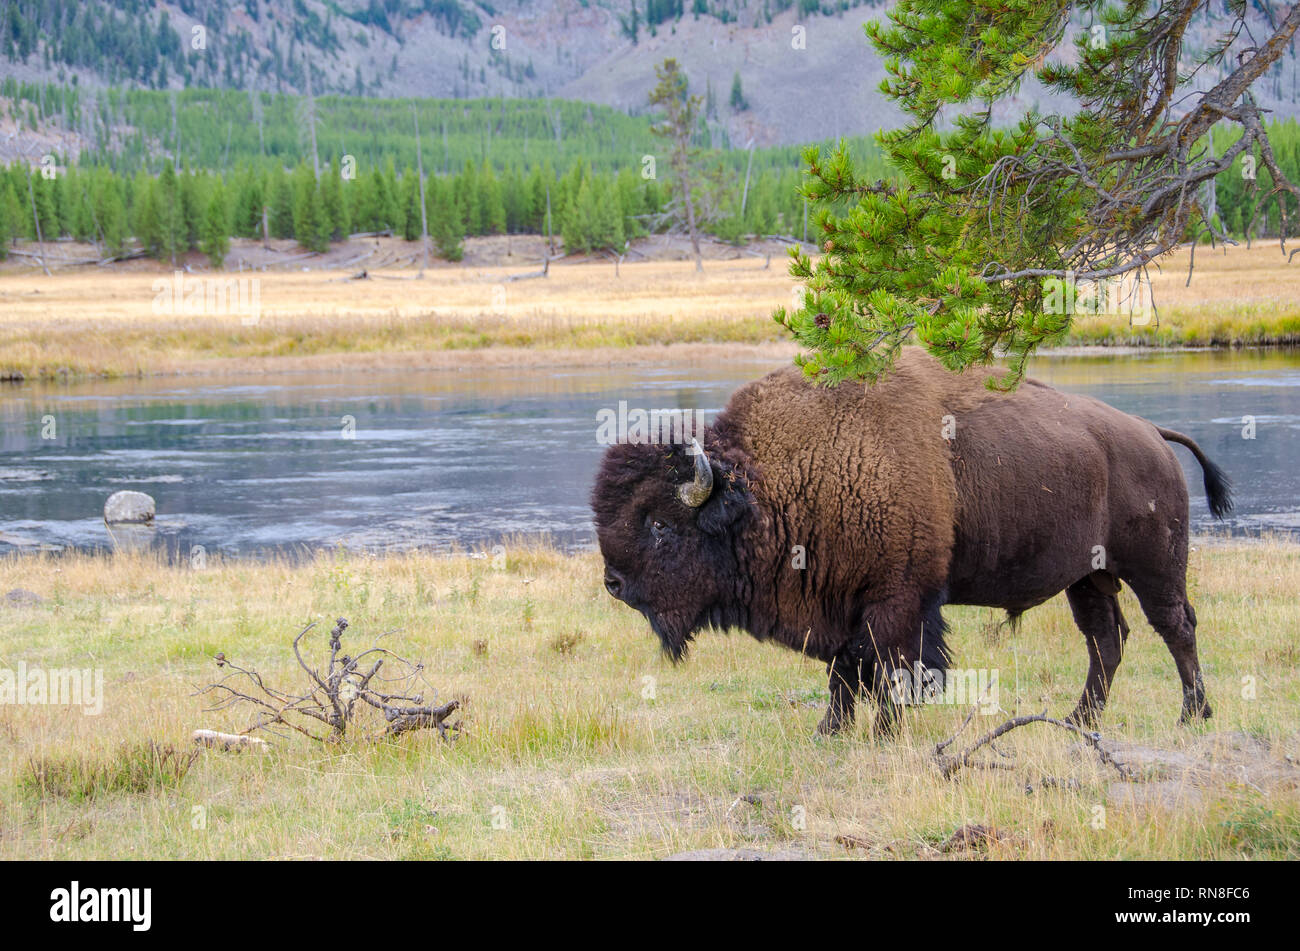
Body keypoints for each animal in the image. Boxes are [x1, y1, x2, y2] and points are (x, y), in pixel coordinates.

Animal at [595, 348, 1232, 737]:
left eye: (659, 524)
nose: (614, 584)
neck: (770, 483)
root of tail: (1151, 433)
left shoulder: (896, 600)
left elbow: (889, 668)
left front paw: (884, 733)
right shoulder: (841, 602)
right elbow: (844, 672)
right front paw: (831, 732)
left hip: (1154, 567)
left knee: (1176, 626)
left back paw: (1193, 715)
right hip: (1088, 576)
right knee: (1106, 638)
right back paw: (1081, 721)